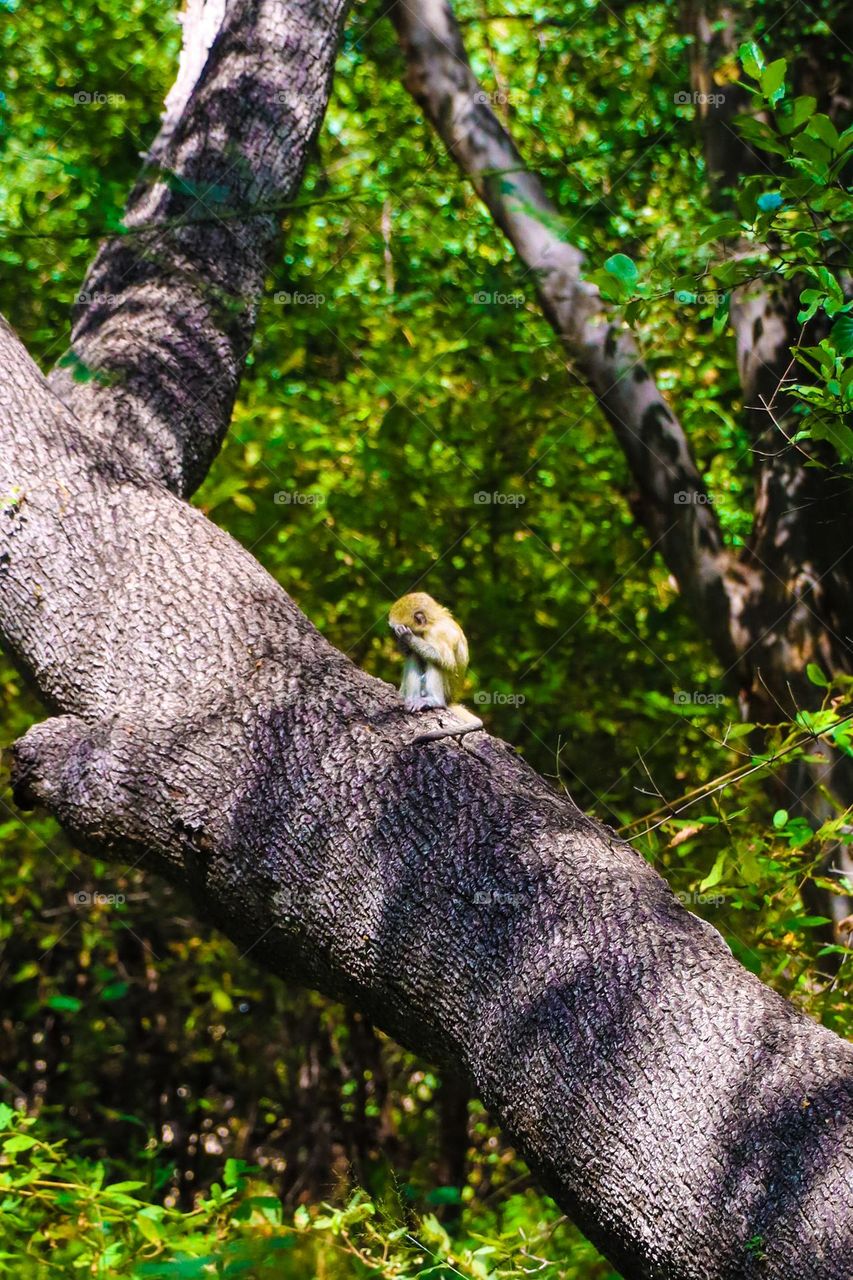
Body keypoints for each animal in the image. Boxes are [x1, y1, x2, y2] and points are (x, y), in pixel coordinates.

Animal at [388, 592, 484, 744]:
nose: (398, 640)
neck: (434, 622)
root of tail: (452, 698)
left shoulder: (438, 633)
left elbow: (446, 661)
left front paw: (408, 638)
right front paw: (404, 646)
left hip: (447, 690)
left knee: (435, 662)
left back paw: (435, 701)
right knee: (414, 655)